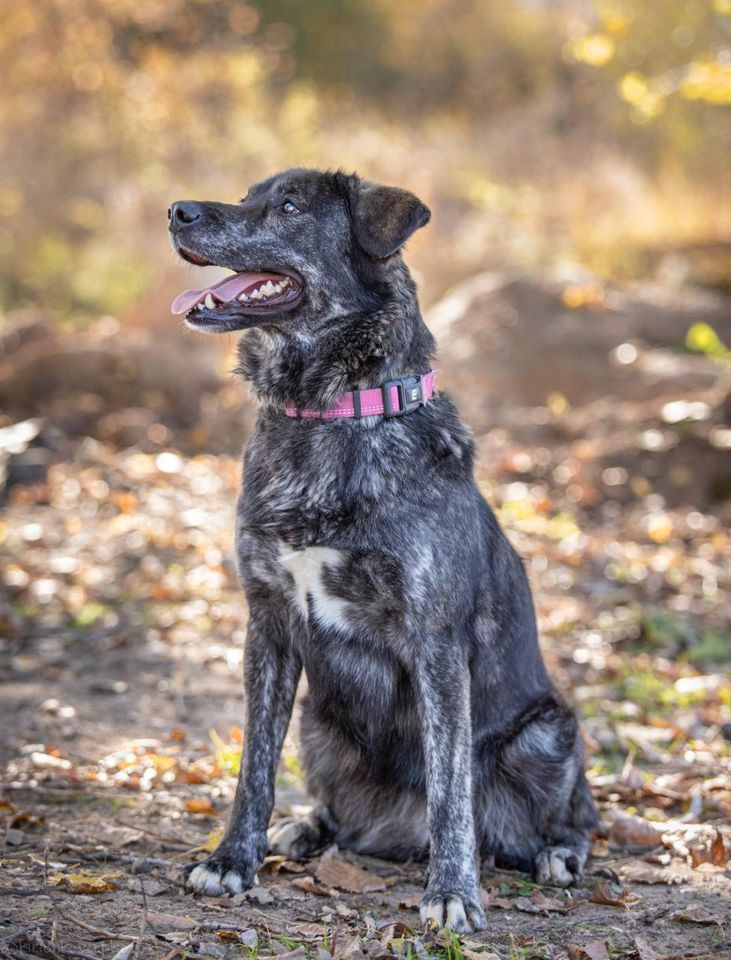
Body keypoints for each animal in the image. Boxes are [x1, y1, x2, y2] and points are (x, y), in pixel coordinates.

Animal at [169, 169, 596, 932]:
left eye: (290, 206)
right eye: (249, 195)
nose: (176, 211)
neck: (331, 414)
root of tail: (396, 834)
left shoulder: (435, 642)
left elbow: (451, 789)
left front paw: (452, 892)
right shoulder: (267, 626)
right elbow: (253, 766)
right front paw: (231, 859)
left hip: (547, 733)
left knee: (570, 820)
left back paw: (556, 855)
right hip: (319, 725)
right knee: (337, 809)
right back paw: (308, 828)